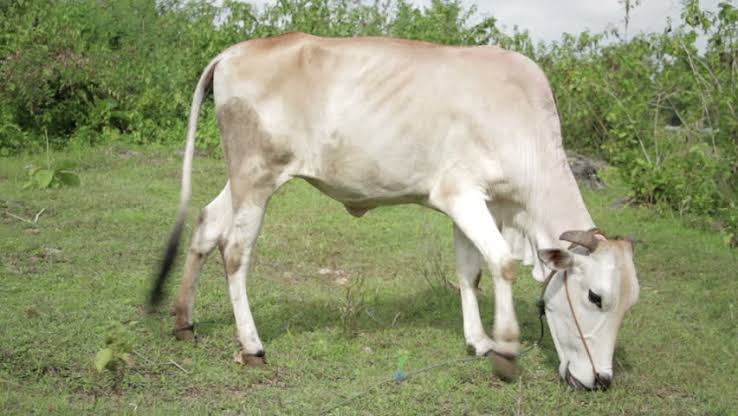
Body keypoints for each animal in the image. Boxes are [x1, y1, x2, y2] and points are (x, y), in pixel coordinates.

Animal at [149, 32, 639, 390]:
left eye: (629, 305)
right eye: (595, 297)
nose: (602, 380)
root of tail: (233, 51)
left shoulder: (476, 203)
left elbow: (470, 271)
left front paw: (479, 341)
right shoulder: (460, 194)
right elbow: (500, 263)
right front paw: (505, 352)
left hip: (242, 180)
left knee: (207, 225)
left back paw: (184, 321)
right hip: (256, 178)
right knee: (235, 250)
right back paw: (252, 346)